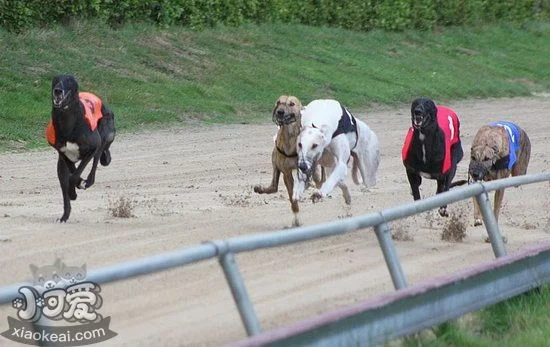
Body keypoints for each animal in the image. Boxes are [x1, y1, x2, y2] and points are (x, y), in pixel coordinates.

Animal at [46, 75, 116, 224]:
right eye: (56, 80)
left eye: (69, 80)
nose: (58, 90)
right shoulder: (63, 156)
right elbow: (70, 176)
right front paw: (67, 208)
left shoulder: (92, 148)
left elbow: (74, 176)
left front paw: (74, 192)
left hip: (103, 136)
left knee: (96, 162)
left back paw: (88, 181)